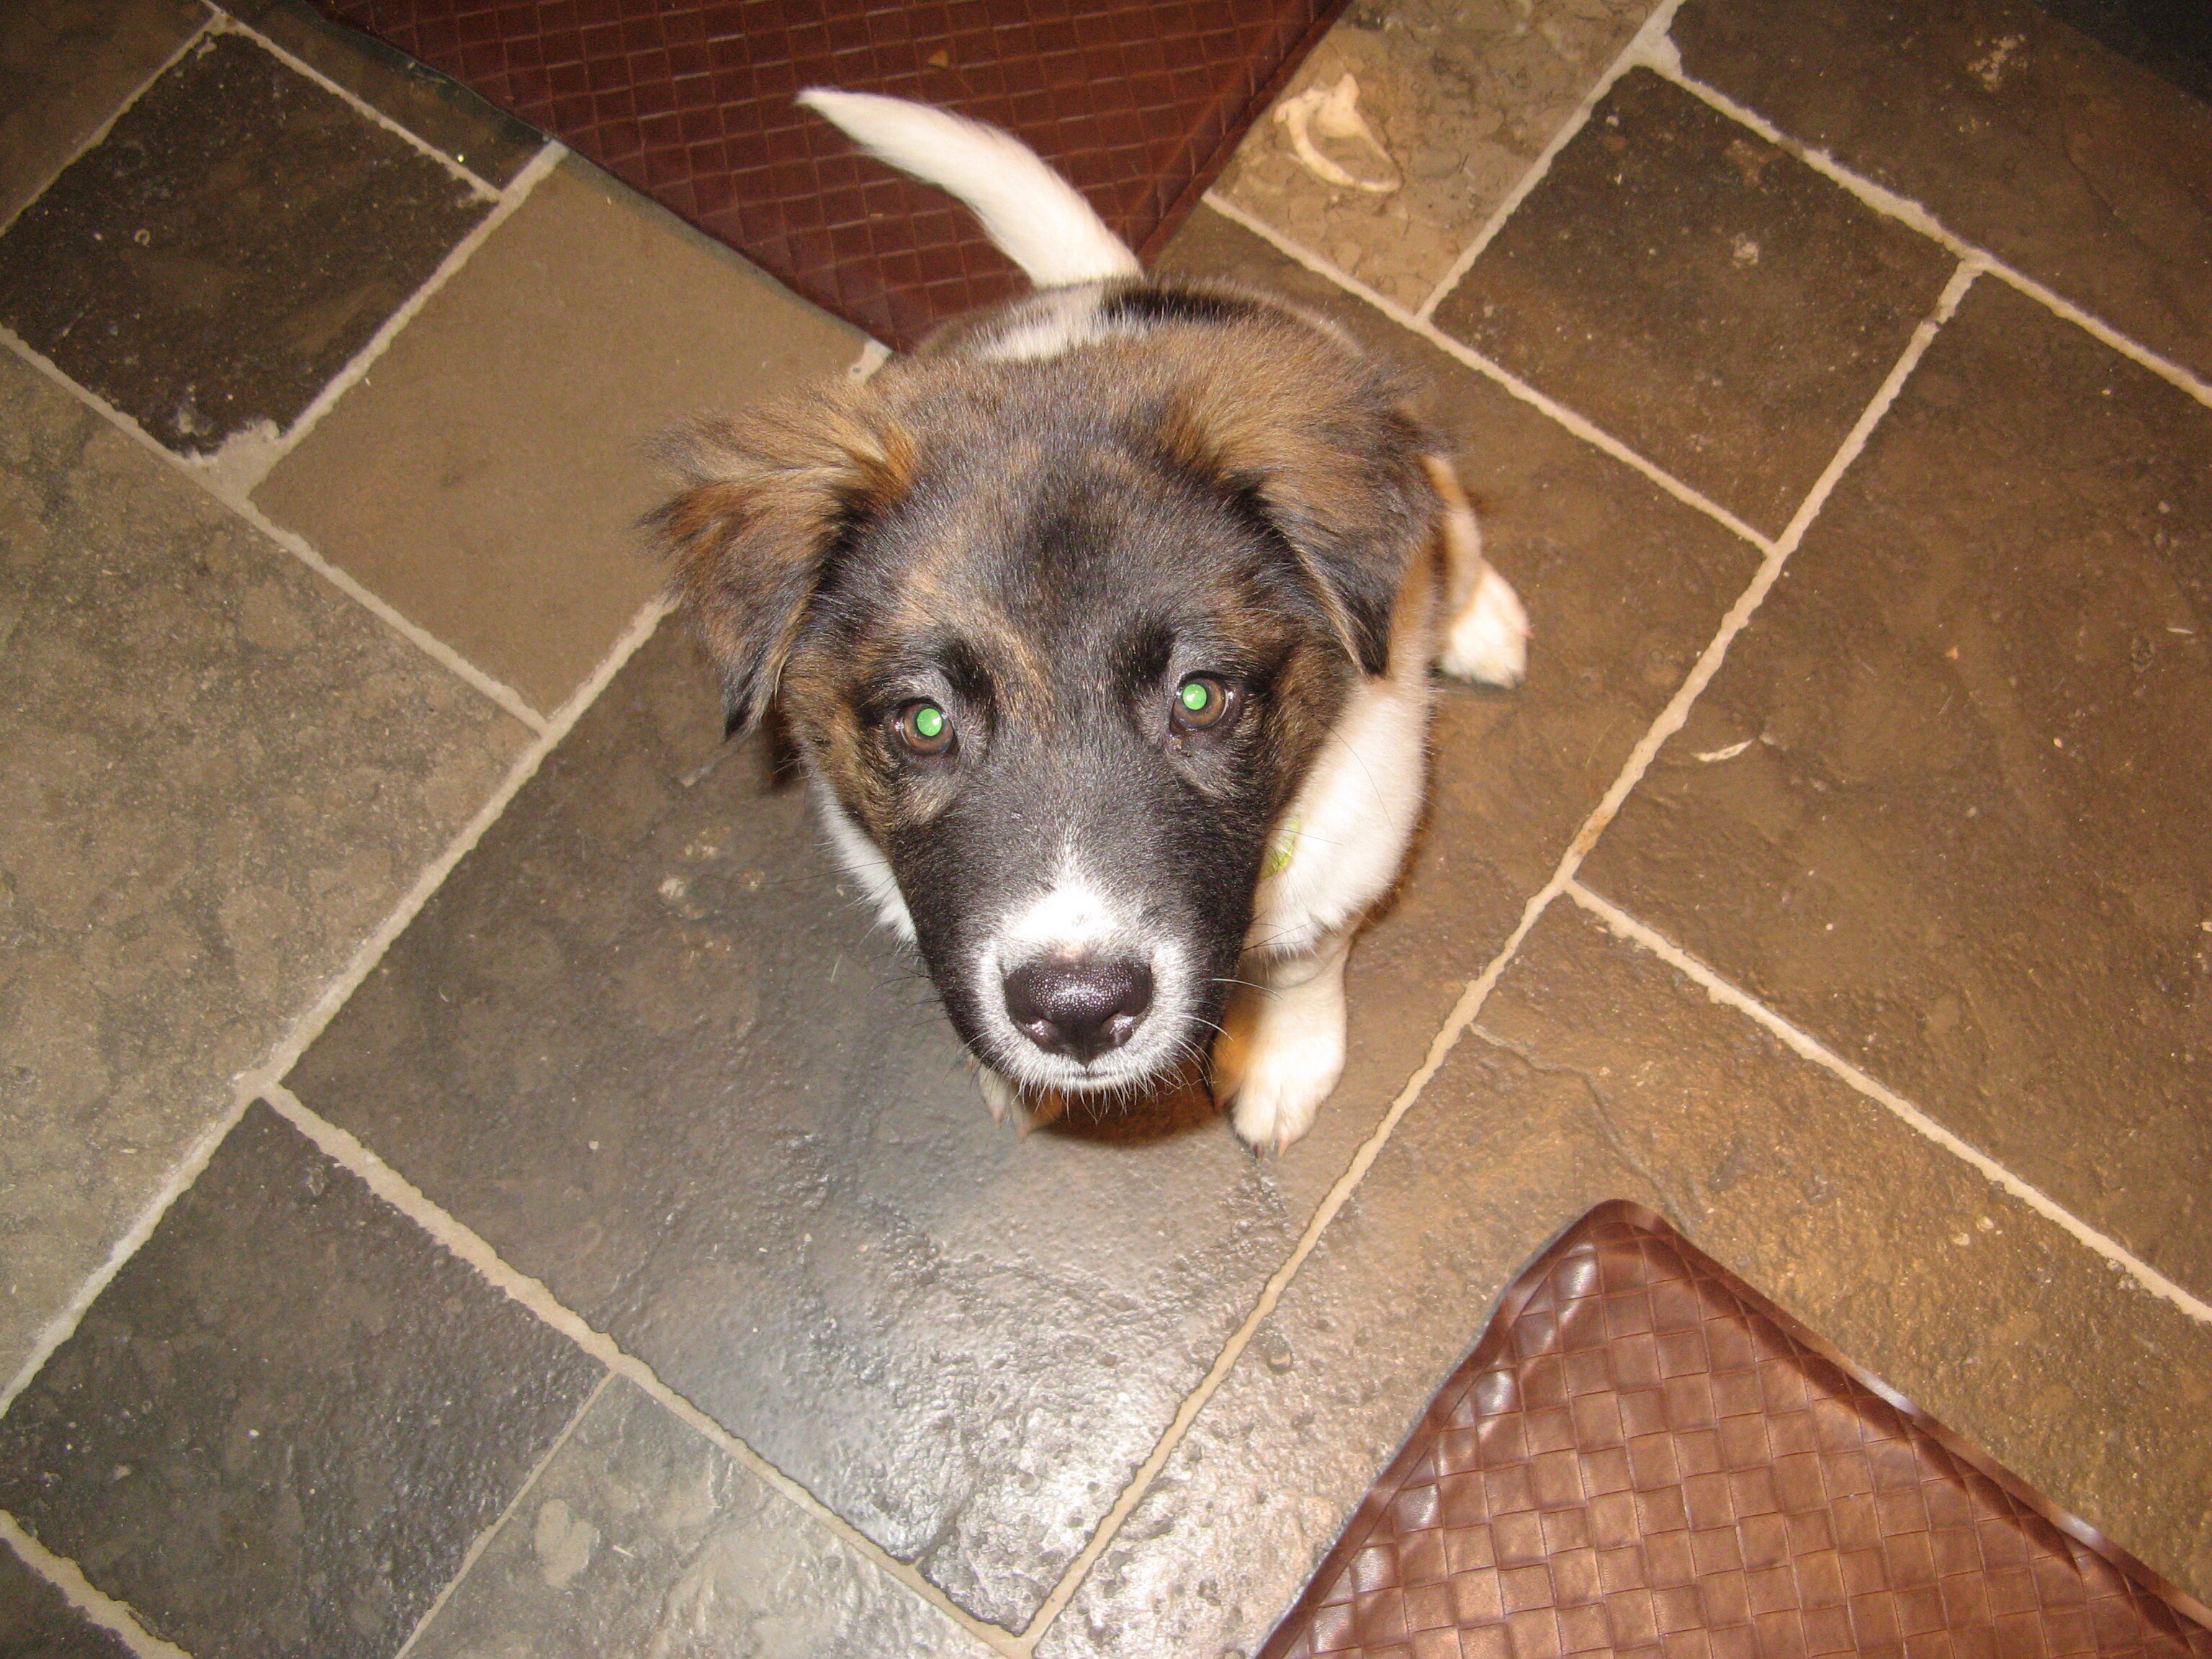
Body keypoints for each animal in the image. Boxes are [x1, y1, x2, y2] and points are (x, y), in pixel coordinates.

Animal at [650, 91, 1527, 1152]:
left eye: (1201, 697)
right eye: (923, 721)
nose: (1077, 1014)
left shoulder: (1352, 845)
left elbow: (1304, 959)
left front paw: (1282, 1060)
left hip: (1439, 513)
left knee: (1462, 543)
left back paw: (1482, 626)